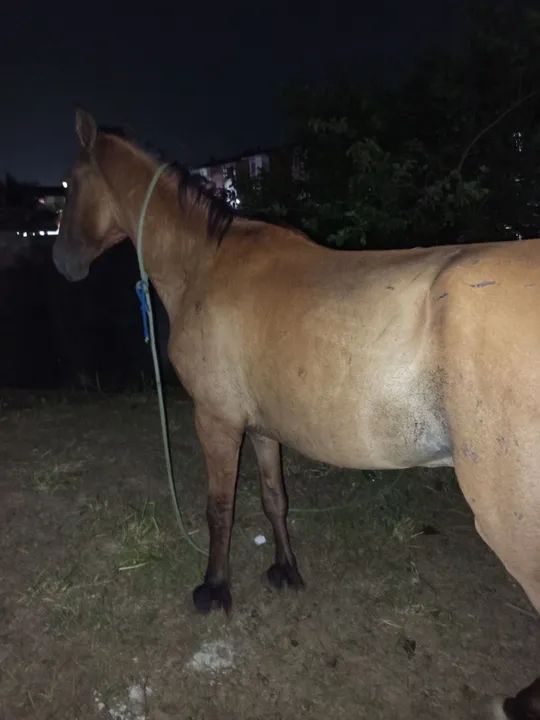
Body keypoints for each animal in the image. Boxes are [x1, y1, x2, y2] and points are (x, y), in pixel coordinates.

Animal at [53, 109, 540, 718]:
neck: (204, 264)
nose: (62, 263)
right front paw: (285, 570)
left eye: (71, 185)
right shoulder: (262, 428)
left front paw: (214, 589)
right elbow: (272, 499)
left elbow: (219, 509)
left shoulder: (216, 420)